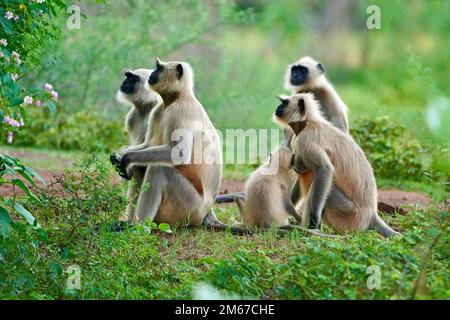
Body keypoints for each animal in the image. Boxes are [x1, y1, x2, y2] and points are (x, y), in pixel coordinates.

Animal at [272, 92, 400, 238]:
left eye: (284, 103)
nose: (278, 108)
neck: (308, 123)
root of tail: (371, 215)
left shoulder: (305, 140)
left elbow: (325, 169)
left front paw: (313, 222)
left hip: (349, 214)